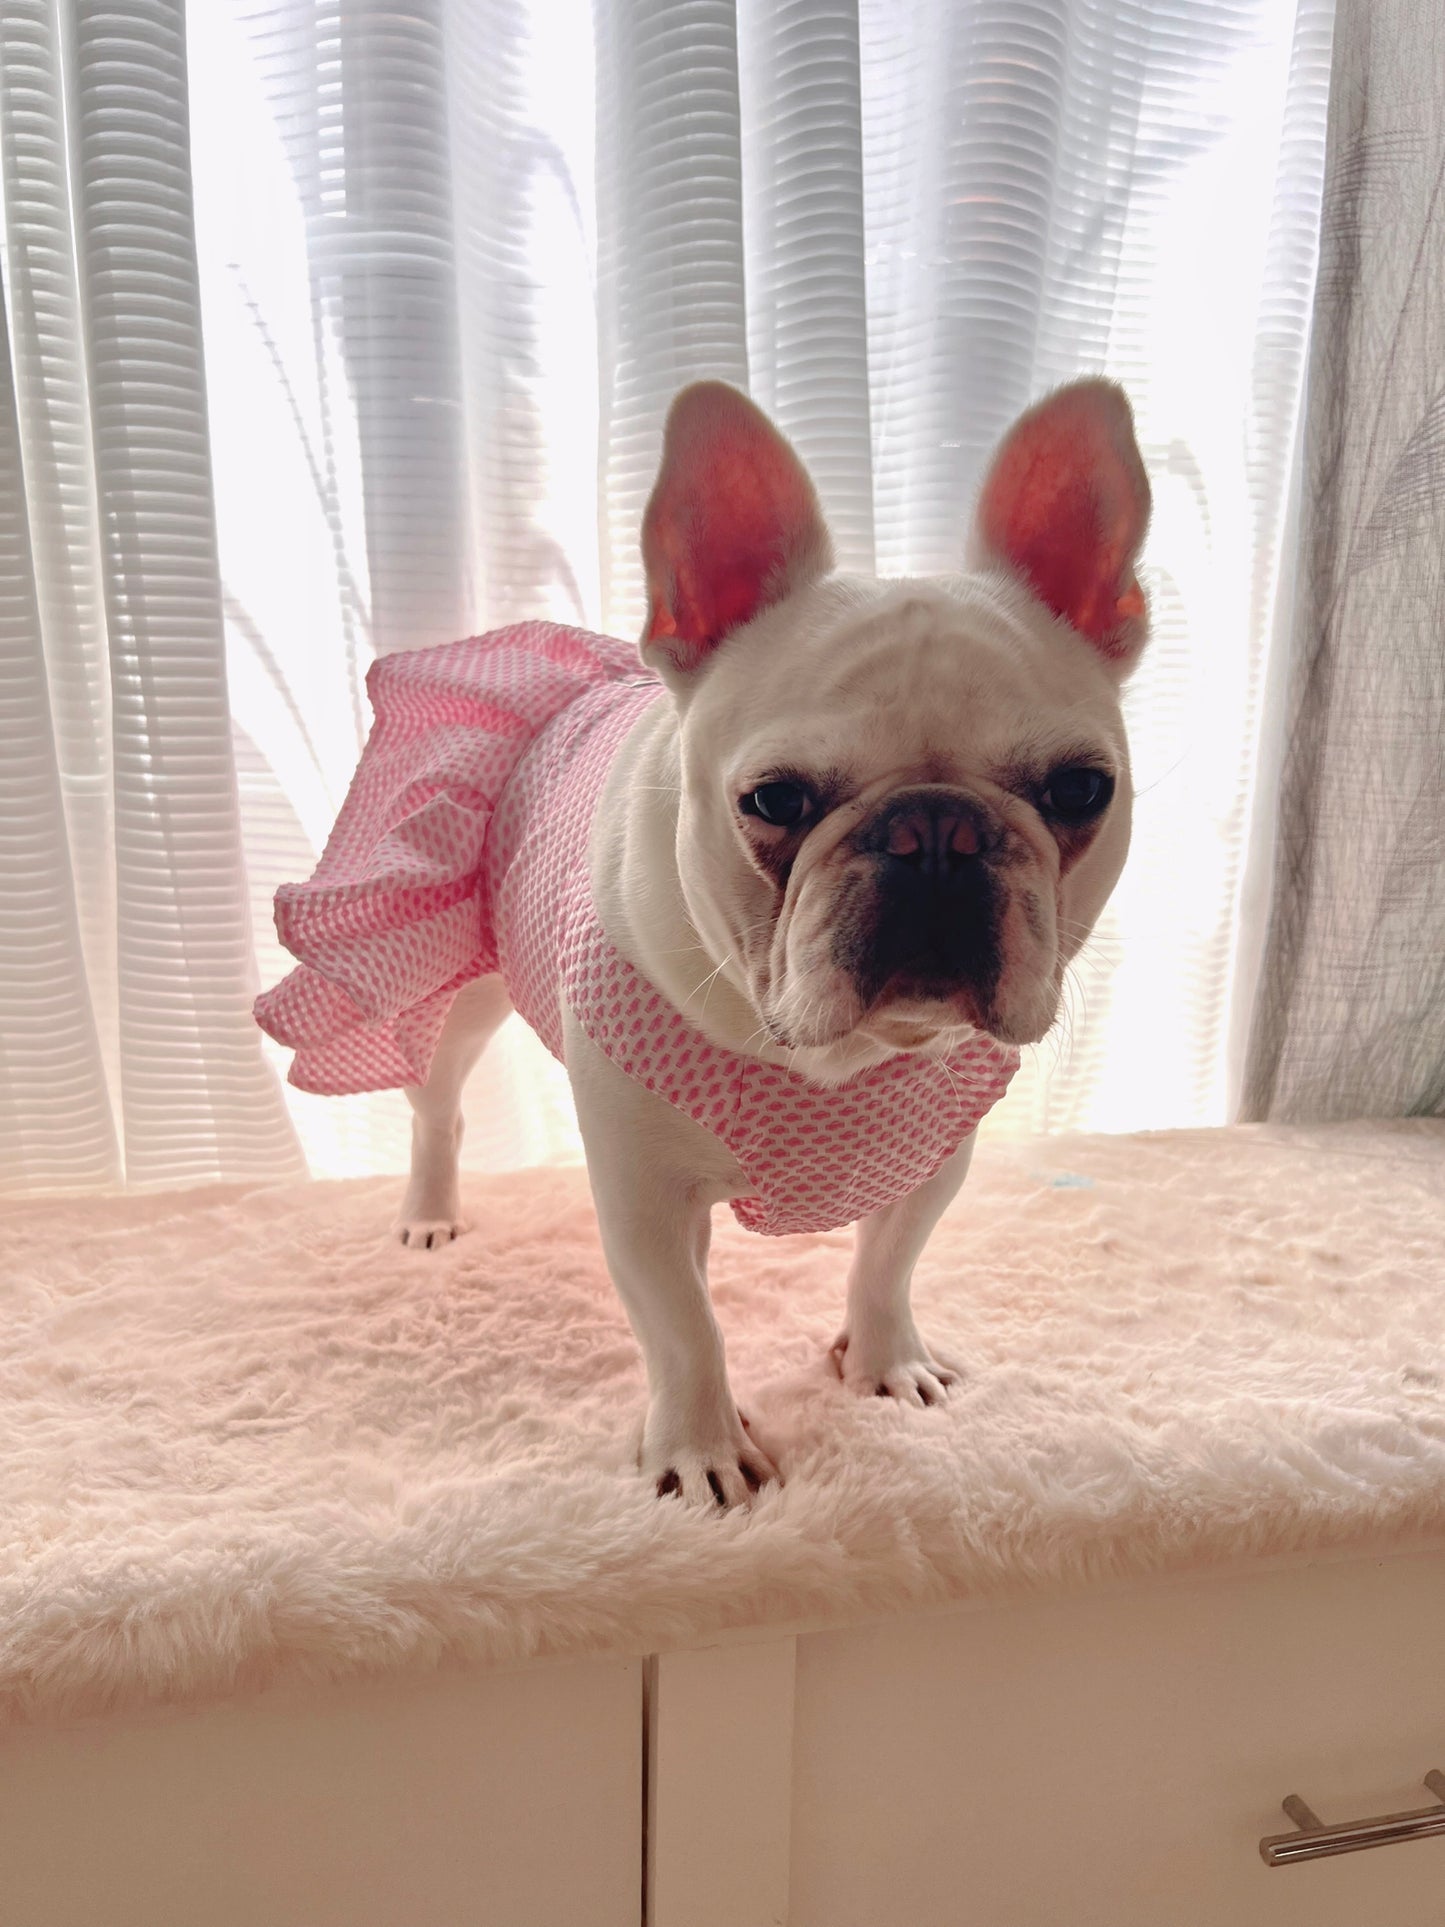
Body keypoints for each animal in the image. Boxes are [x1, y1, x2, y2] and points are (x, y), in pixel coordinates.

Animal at [254, 375, 1148, 1510]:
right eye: (772, 799)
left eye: (1080, 789)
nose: (934, 833)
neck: (836, 1054)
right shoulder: (638, 1194)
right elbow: (683, 1327)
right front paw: (700, 1447)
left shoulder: (928, 1162)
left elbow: (886, 1263)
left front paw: (883, 1360)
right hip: (461, 984)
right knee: (438, 1103)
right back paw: (428, 1212)